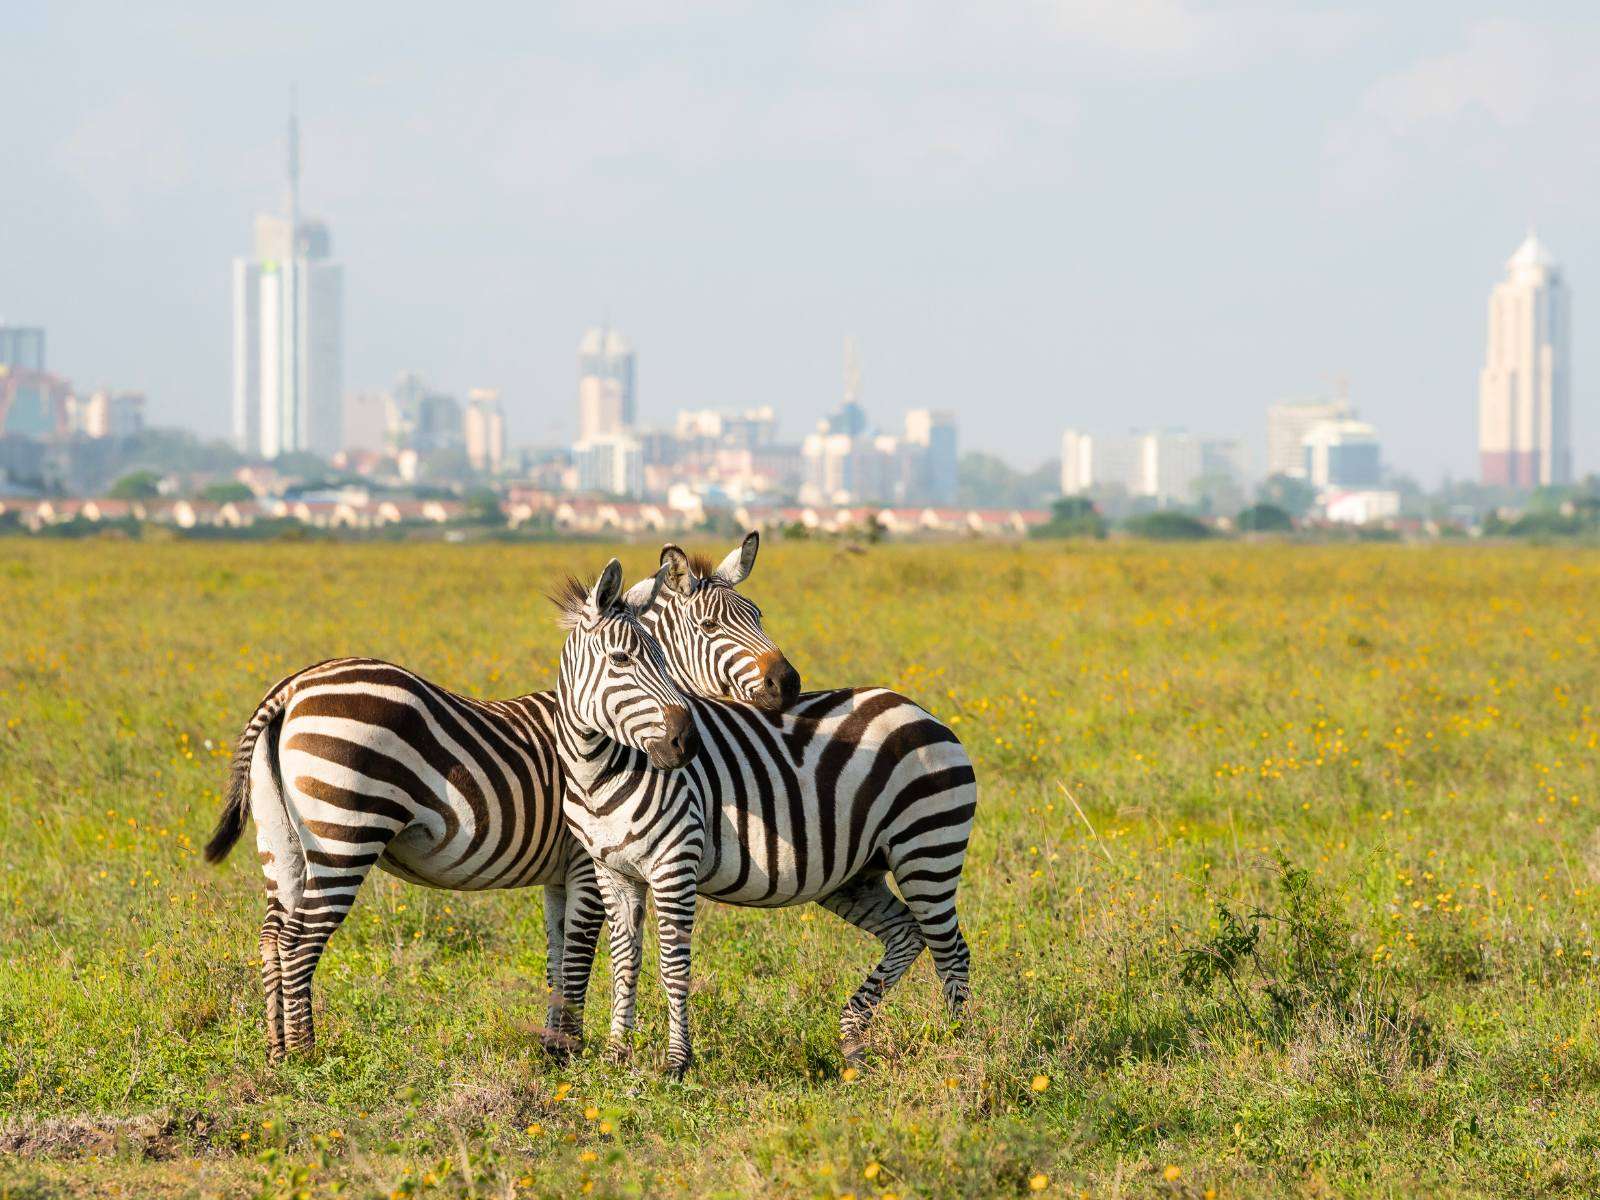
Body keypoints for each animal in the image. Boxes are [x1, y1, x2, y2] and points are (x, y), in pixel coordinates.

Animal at [204, 534, 793, 1062]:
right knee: (300, 940)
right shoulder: (586, 862)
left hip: (281, 839)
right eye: (711, 627)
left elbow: (558, 955)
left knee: (272, 935)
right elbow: (580, 955)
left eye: (759, 615)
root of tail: (291, 688)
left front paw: (555, 1047)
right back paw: (306, 1057)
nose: (788, 683)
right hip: (345, 833)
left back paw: (276, 1052)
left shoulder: (560, 873)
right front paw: (570, 1051)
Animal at [556, 563, 979, 1081]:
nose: (686, 742)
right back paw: (854, 1041)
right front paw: (617, 1055)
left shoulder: (674, 866)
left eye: (662, 660)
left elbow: (673, 965)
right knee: (907, 933)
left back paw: (959, 1048)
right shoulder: (612, 872)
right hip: (856, 875)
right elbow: (623, 962)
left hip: (928, 849)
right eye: (620, 659)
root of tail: (922, 711)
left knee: (951, 950)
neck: (597, 773)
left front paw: (677, 1062)